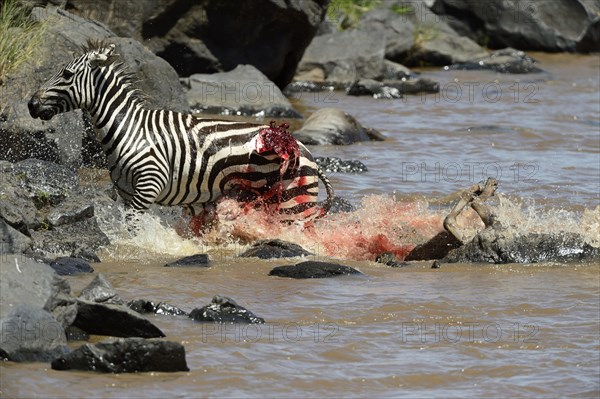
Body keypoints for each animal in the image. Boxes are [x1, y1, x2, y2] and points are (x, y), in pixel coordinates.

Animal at [29, 40, 332, 228]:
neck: (130, 130)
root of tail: (306, 151)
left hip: (293, 201)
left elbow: (132, 231)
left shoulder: (149, 185)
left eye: (66, 74)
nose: (31, 104)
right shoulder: (126, 193)